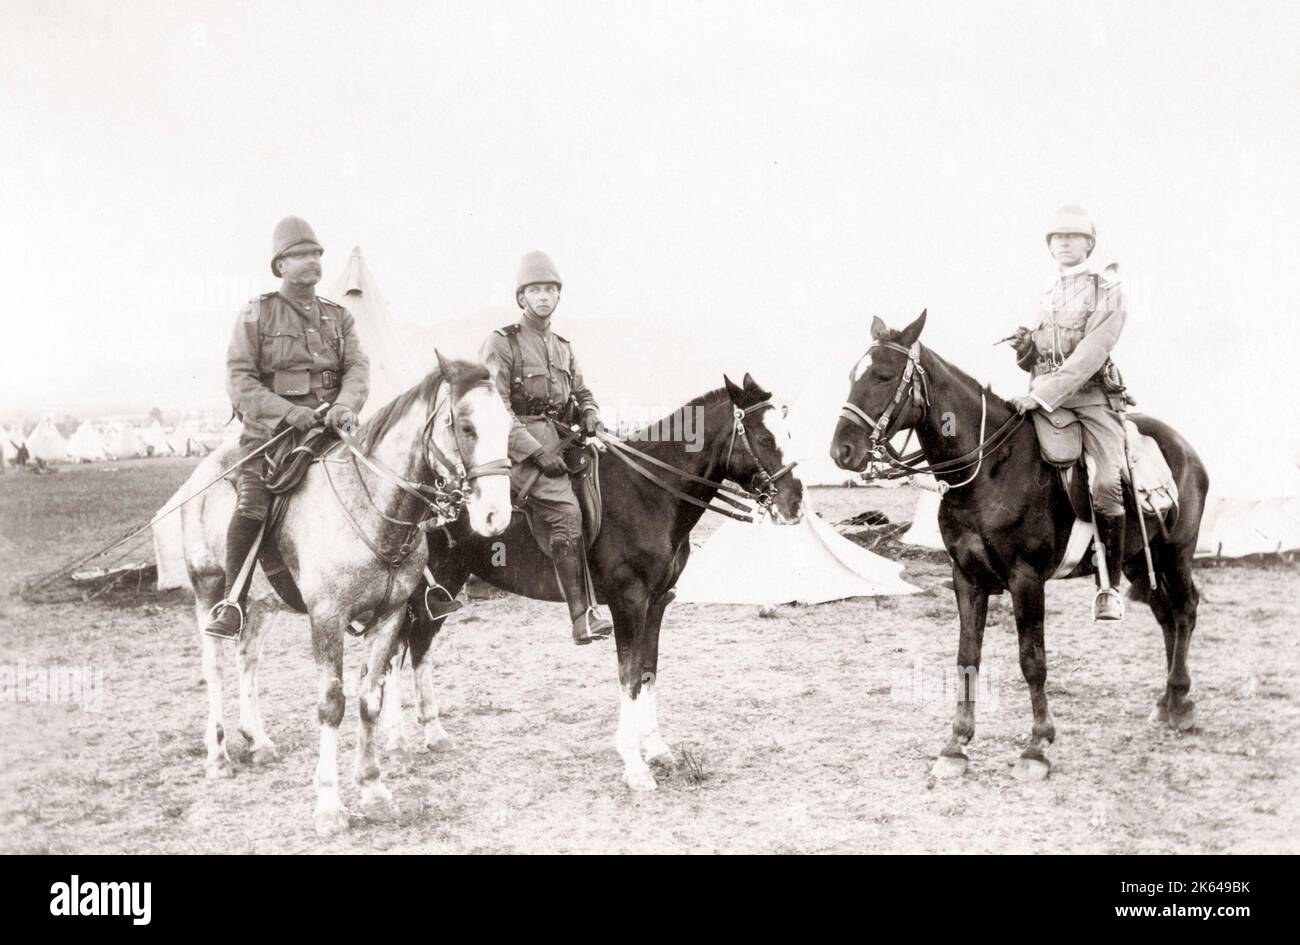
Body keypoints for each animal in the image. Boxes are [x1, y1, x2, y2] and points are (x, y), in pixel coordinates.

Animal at [390, 374, 806, 795]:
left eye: (789, 430)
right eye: (764, 437)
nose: (795, 504)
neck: (648, 492)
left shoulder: (657, 604)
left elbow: (648, 671)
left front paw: (657, 749)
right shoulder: (628, 604)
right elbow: (629, 677)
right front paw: (635, 766)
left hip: (444, 587)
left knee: (419, 646)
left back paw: (433, 734)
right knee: (395, 653)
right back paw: (398, 742)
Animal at [832, 314, 1206, 779]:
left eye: (883, 375)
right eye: (853, 375)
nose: (842, 450)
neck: (989, 467)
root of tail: (1187, 451)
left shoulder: (1026, 579)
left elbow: (1033, 661)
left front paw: (1037, 746)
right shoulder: (966, 578)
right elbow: (967, 656)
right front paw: (956, 744)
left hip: (1176, 555)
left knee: (1185, 610)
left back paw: (1181, 700)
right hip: (1142, 561)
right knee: (1166, 616)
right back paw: (1169, 703)